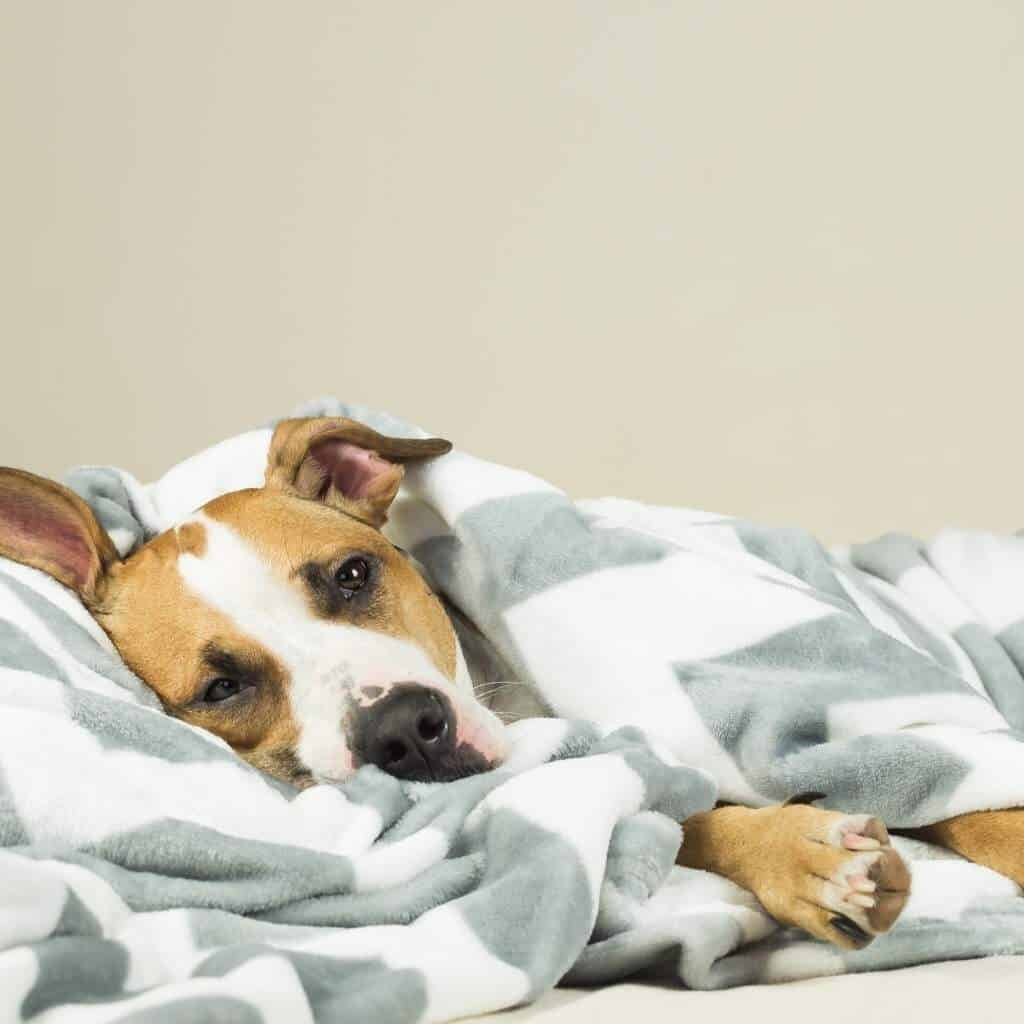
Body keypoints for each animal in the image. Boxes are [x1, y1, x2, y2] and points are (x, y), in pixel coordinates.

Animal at [2, 415, 1024, 950]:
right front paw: (802, 858)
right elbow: (693, 812)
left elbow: (966, 797)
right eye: (221, 690)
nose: (403, 729)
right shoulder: (624, 757)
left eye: (352, 575)